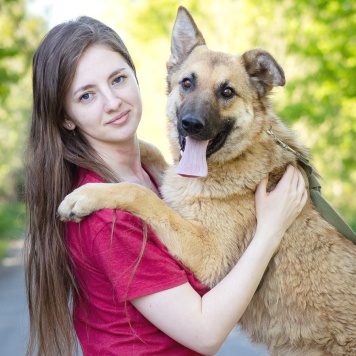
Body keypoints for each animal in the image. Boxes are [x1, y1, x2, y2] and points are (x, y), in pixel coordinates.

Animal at [59, 6, 356, 356]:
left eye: (227, 92)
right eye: (187, 83)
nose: (191, 124)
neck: (240, 155)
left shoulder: (208, 254)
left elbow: (139, 193)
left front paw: (84, 196)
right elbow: (153, 156)